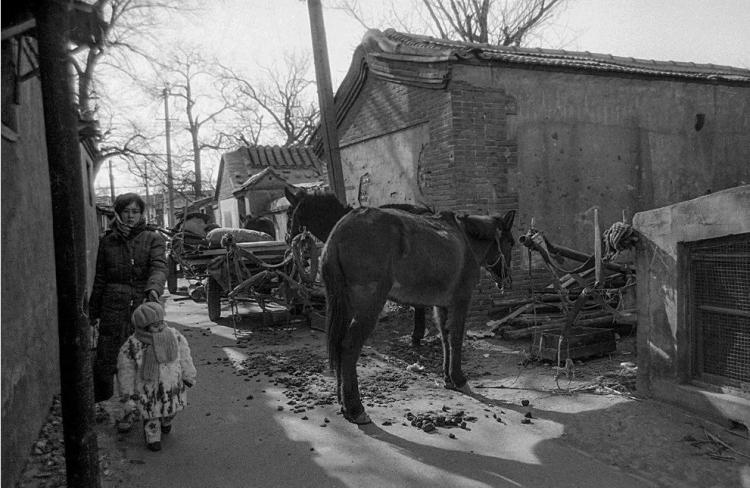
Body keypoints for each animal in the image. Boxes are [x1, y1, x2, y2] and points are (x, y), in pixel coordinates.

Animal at [320, 206, 516, 424]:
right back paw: (355, 408)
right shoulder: (461, 300)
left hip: (344, 305)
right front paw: (458, 379)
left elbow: (445, 338)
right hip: (369, 304)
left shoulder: (443, 304)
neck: (466, 239)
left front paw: (448, 379)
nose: (507, 279)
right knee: (349, 347)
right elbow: (456, 338)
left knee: (339, 344)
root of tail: (340, 231)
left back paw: (344, 402)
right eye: (511, 242)